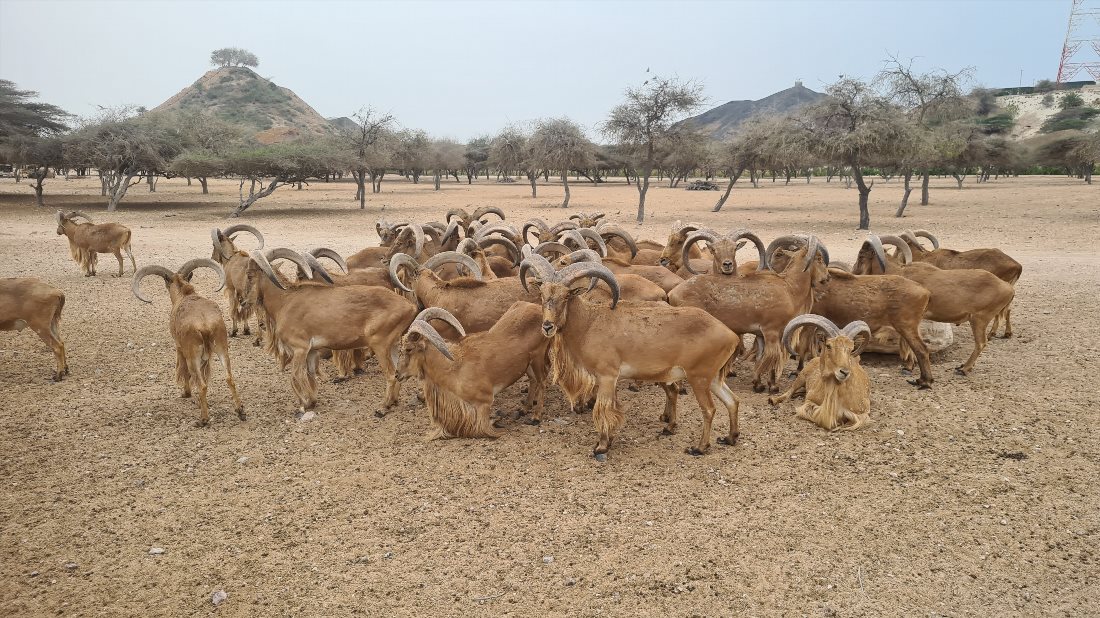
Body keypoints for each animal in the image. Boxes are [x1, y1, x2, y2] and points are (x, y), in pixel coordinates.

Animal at [132, 257, 244, 426]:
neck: (184, 295)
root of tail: (205, 324)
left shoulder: (180, 347)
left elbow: (183, 370)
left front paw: (186, 393)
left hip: (193, 354)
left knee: (201, 384)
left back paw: (203, 419)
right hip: (221, 347)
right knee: (229, 378)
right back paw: (240, 411)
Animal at [396, 303, 550, 437]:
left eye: (408, 349)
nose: (397, 374)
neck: (454, 368)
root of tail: (538, 309)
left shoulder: (484, 402)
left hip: (538, 356)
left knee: (542, 381)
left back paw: (535, 417)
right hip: (528, 362)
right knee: (533, 379)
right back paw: (524, 408)